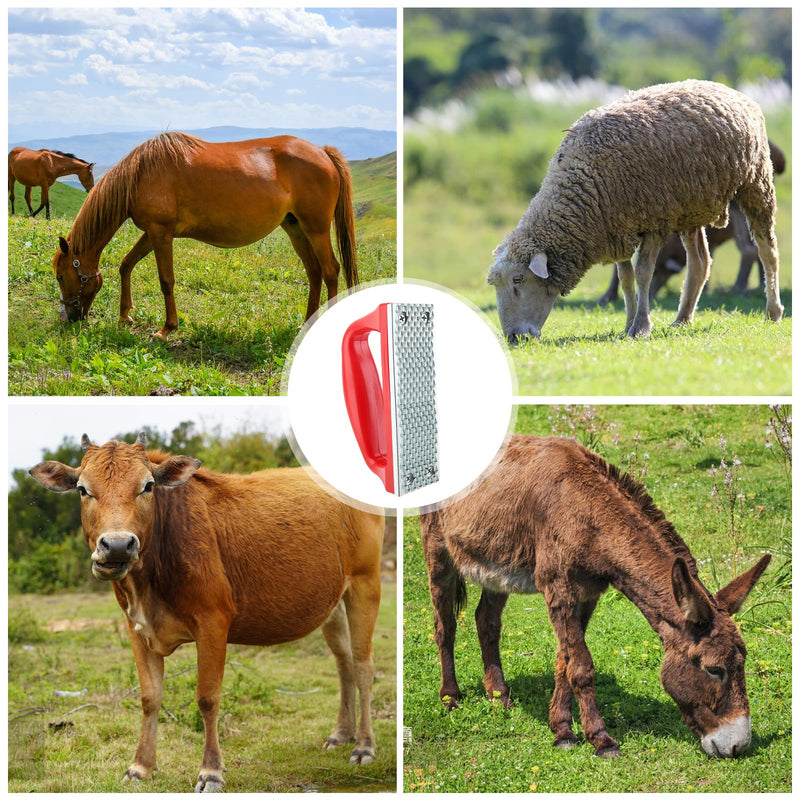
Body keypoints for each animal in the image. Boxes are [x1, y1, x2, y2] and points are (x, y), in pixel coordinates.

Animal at [30, 433, 383, 791]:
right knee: (344, 662)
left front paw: (210, 771)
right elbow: (150, 697)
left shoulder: (213, 622)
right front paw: (141, 766)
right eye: (83, 489)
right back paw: (341, 734)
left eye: (147, 486)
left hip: (365, 583)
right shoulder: (136, 628)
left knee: (364, 664)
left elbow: (207, 698)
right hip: (333, 603)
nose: (117, 545)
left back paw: (364, 746)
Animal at [51, 132, 358, 337]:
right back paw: (306, 323)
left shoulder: (161, 234)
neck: (140, 174)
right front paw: (125, 315)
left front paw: (167, 328)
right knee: (314, 272)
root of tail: (323, 152)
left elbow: (166, 280)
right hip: (295, 228)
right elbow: (126, 264)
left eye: (61, 276)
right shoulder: (152, 233)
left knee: (330, 270)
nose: (70, 317)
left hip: (316, 229)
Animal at [421, 435, 771, 758]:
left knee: (486, 621)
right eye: (714, 669)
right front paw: (600, 739)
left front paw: (562, 730)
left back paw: (499, 695)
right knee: (444, 625)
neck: (585, 510)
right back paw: (450, 696)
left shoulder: (587, 593)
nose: (739, 746)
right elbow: (582, 666)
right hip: (437, 550)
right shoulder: (558, 587)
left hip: (496, 564)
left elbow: (565, 659)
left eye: (743, 661)